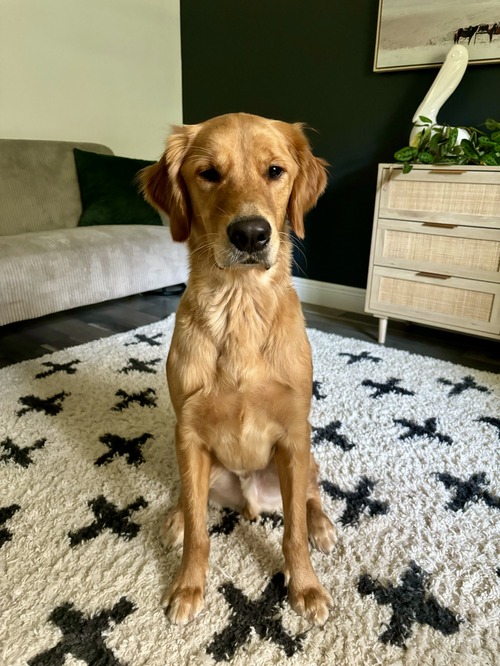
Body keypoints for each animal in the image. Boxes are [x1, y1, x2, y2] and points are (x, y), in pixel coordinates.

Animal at [140, 112, 336, 626]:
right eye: (208, 173)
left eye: (275, 171)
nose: (250, 234)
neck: (240, 304)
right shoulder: (188, 431)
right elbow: (199, 529)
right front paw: (188, 585)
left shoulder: (294, 430)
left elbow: (291, 531)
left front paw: (305, 587)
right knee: (191, 501)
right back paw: (173, 518)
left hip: (306, 457)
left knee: (309, 496)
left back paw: (322, 526)